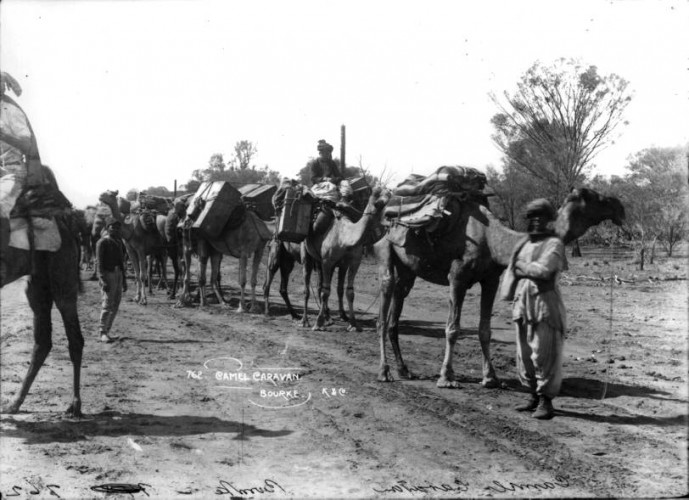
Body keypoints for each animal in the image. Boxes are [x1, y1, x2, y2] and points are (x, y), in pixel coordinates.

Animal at [376, 188, 624, 386]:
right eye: (591, 196)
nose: (619, 207)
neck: (491, 239)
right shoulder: (457, 277)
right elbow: (452, 329)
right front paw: (446, 377)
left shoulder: (491, 280)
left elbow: (485, 330)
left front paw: (491, 378)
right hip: (386, 250)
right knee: (384, 306)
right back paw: (384, 372)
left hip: (408, 271)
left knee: (395, 310)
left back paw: (404, 369)